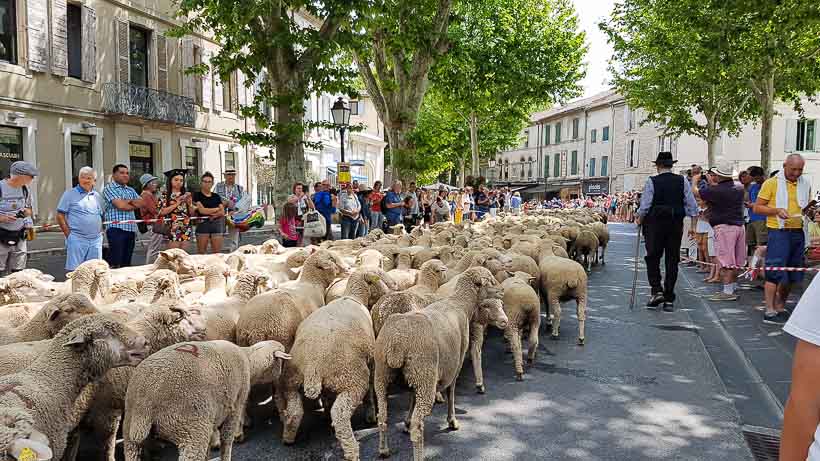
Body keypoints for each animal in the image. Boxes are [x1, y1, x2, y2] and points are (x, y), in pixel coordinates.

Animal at [120, 338, 290, 460]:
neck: (249, 360)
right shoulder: (235, 405)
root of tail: (144, 404)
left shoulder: (213, 416)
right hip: (191, 429)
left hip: (129, 433)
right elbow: (227, 440)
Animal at [278, 268, 388, 458]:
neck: (353, 297)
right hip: (352, 380)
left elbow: (326, 396)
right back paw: (352, 451)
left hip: (292, 381)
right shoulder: (371, 361)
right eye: (379, 278)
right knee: (340, 416)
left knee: (294, 412)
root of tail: (313, 366)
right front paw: (371, 415)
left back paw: (288, 438)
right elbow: (370, 392)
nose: (388, 293)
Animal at [374, 266, 502, 460]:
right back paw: (418, 453)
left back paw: (383, 449)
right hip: (424, 376)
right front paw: (452, 421)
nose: (502, 290)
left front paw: (406, 421)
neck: (460, 303)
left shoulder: (416, 379)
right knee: (418, 426)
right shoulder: (454, 366)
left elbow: (411, 397)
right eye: (491, 280)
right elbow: (451, 392)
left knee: (382, 417)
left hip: (385, 375)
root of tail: (397, 343)